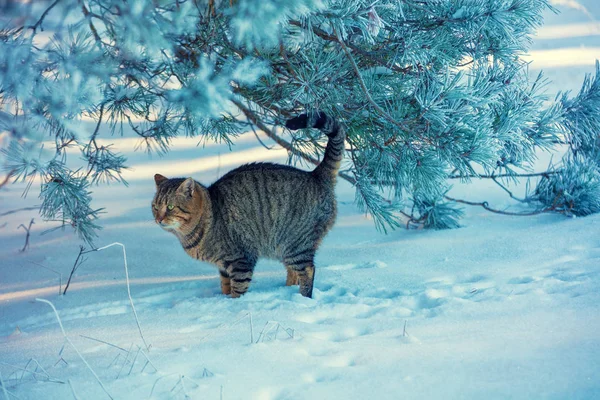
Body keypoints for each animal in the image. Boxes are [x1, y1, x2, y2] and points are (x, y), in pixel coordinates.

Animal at [152, 112, 344, 296]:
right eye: (155, 207)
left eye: (170, 207)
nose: (158, 219)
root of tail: (315, 175)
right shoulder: (224, 267)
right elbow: (225, 286)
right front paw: (223, 298)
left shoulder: (240, 260)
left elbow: (238, 290)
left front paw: (234, 303)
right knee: (293, 272)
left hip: (295, 244)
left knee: (308, 270)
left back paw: (302, 297)